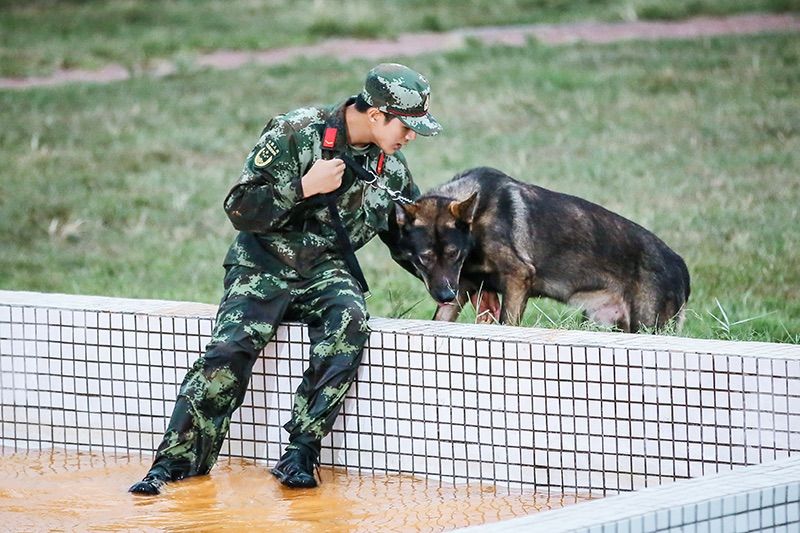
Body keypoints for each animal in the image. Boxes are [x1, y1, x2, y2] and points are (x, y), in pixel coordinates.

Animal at [382, 167, 688, 332]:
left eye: (454, 254)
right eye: (424, 259)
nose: (444, 295)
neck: (477, 222)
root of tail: (681, 266)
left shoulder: (518, 278)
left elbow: (507, 323)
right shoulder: (462, 289)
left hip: (647, 324)